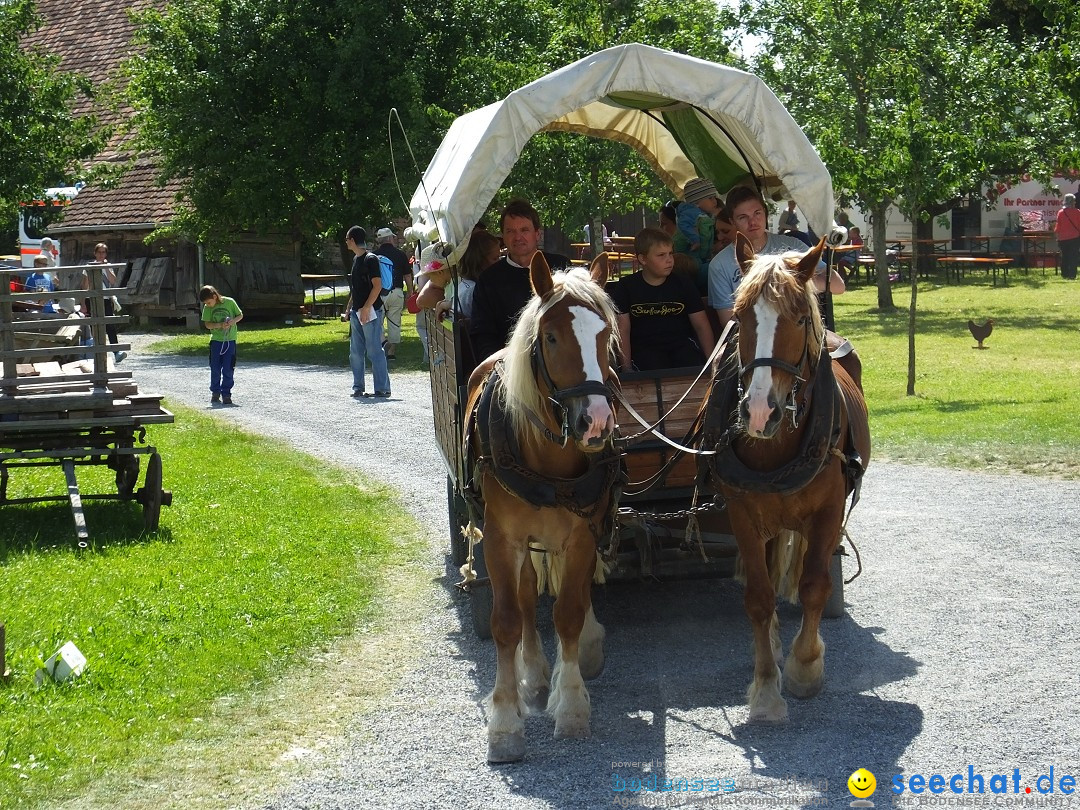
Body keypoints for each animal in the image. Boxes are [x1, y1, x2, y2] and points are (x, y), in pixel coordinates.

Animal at [460, 250, 622, 764]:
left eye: (606, 334)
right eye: (550, 337)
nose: (597, 421)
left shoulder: (582, 532)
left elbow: (568, 611)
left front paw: (570, 705)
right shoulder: (500, 539)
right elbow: (508, 620)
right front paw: (505, 722)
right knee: (528, 594)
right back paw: (531, 673)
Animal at [699, 234, 868, 721]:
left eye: (798, 317)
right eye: (739, 318)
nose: (759, 412)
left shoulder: (828, 512)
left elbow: (813, 587)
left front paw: (805, 669)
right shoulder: (742, 513)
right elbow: (758, 596)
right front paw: (766, 687)